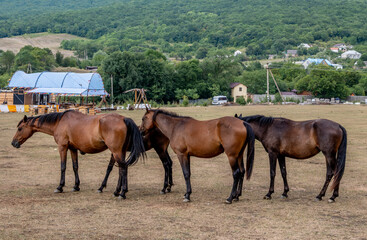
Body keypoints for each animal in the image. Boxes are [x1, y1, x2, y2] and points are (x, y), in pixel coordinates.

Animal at [10, 110, 145, 199]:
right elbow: (75, 166)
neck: (60, 122)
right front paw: (76, 186)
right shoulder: (73, 149)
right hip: (119, 152)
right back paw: (116, 191)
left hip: (116, 151)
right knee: (121, 169)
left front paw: (60, 187)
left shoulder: (62, 148)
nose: (13, 143)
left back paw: (122, 193)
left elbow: (63, 167)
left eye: (20, 128)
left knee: (123, 168)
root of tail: (123, 118)